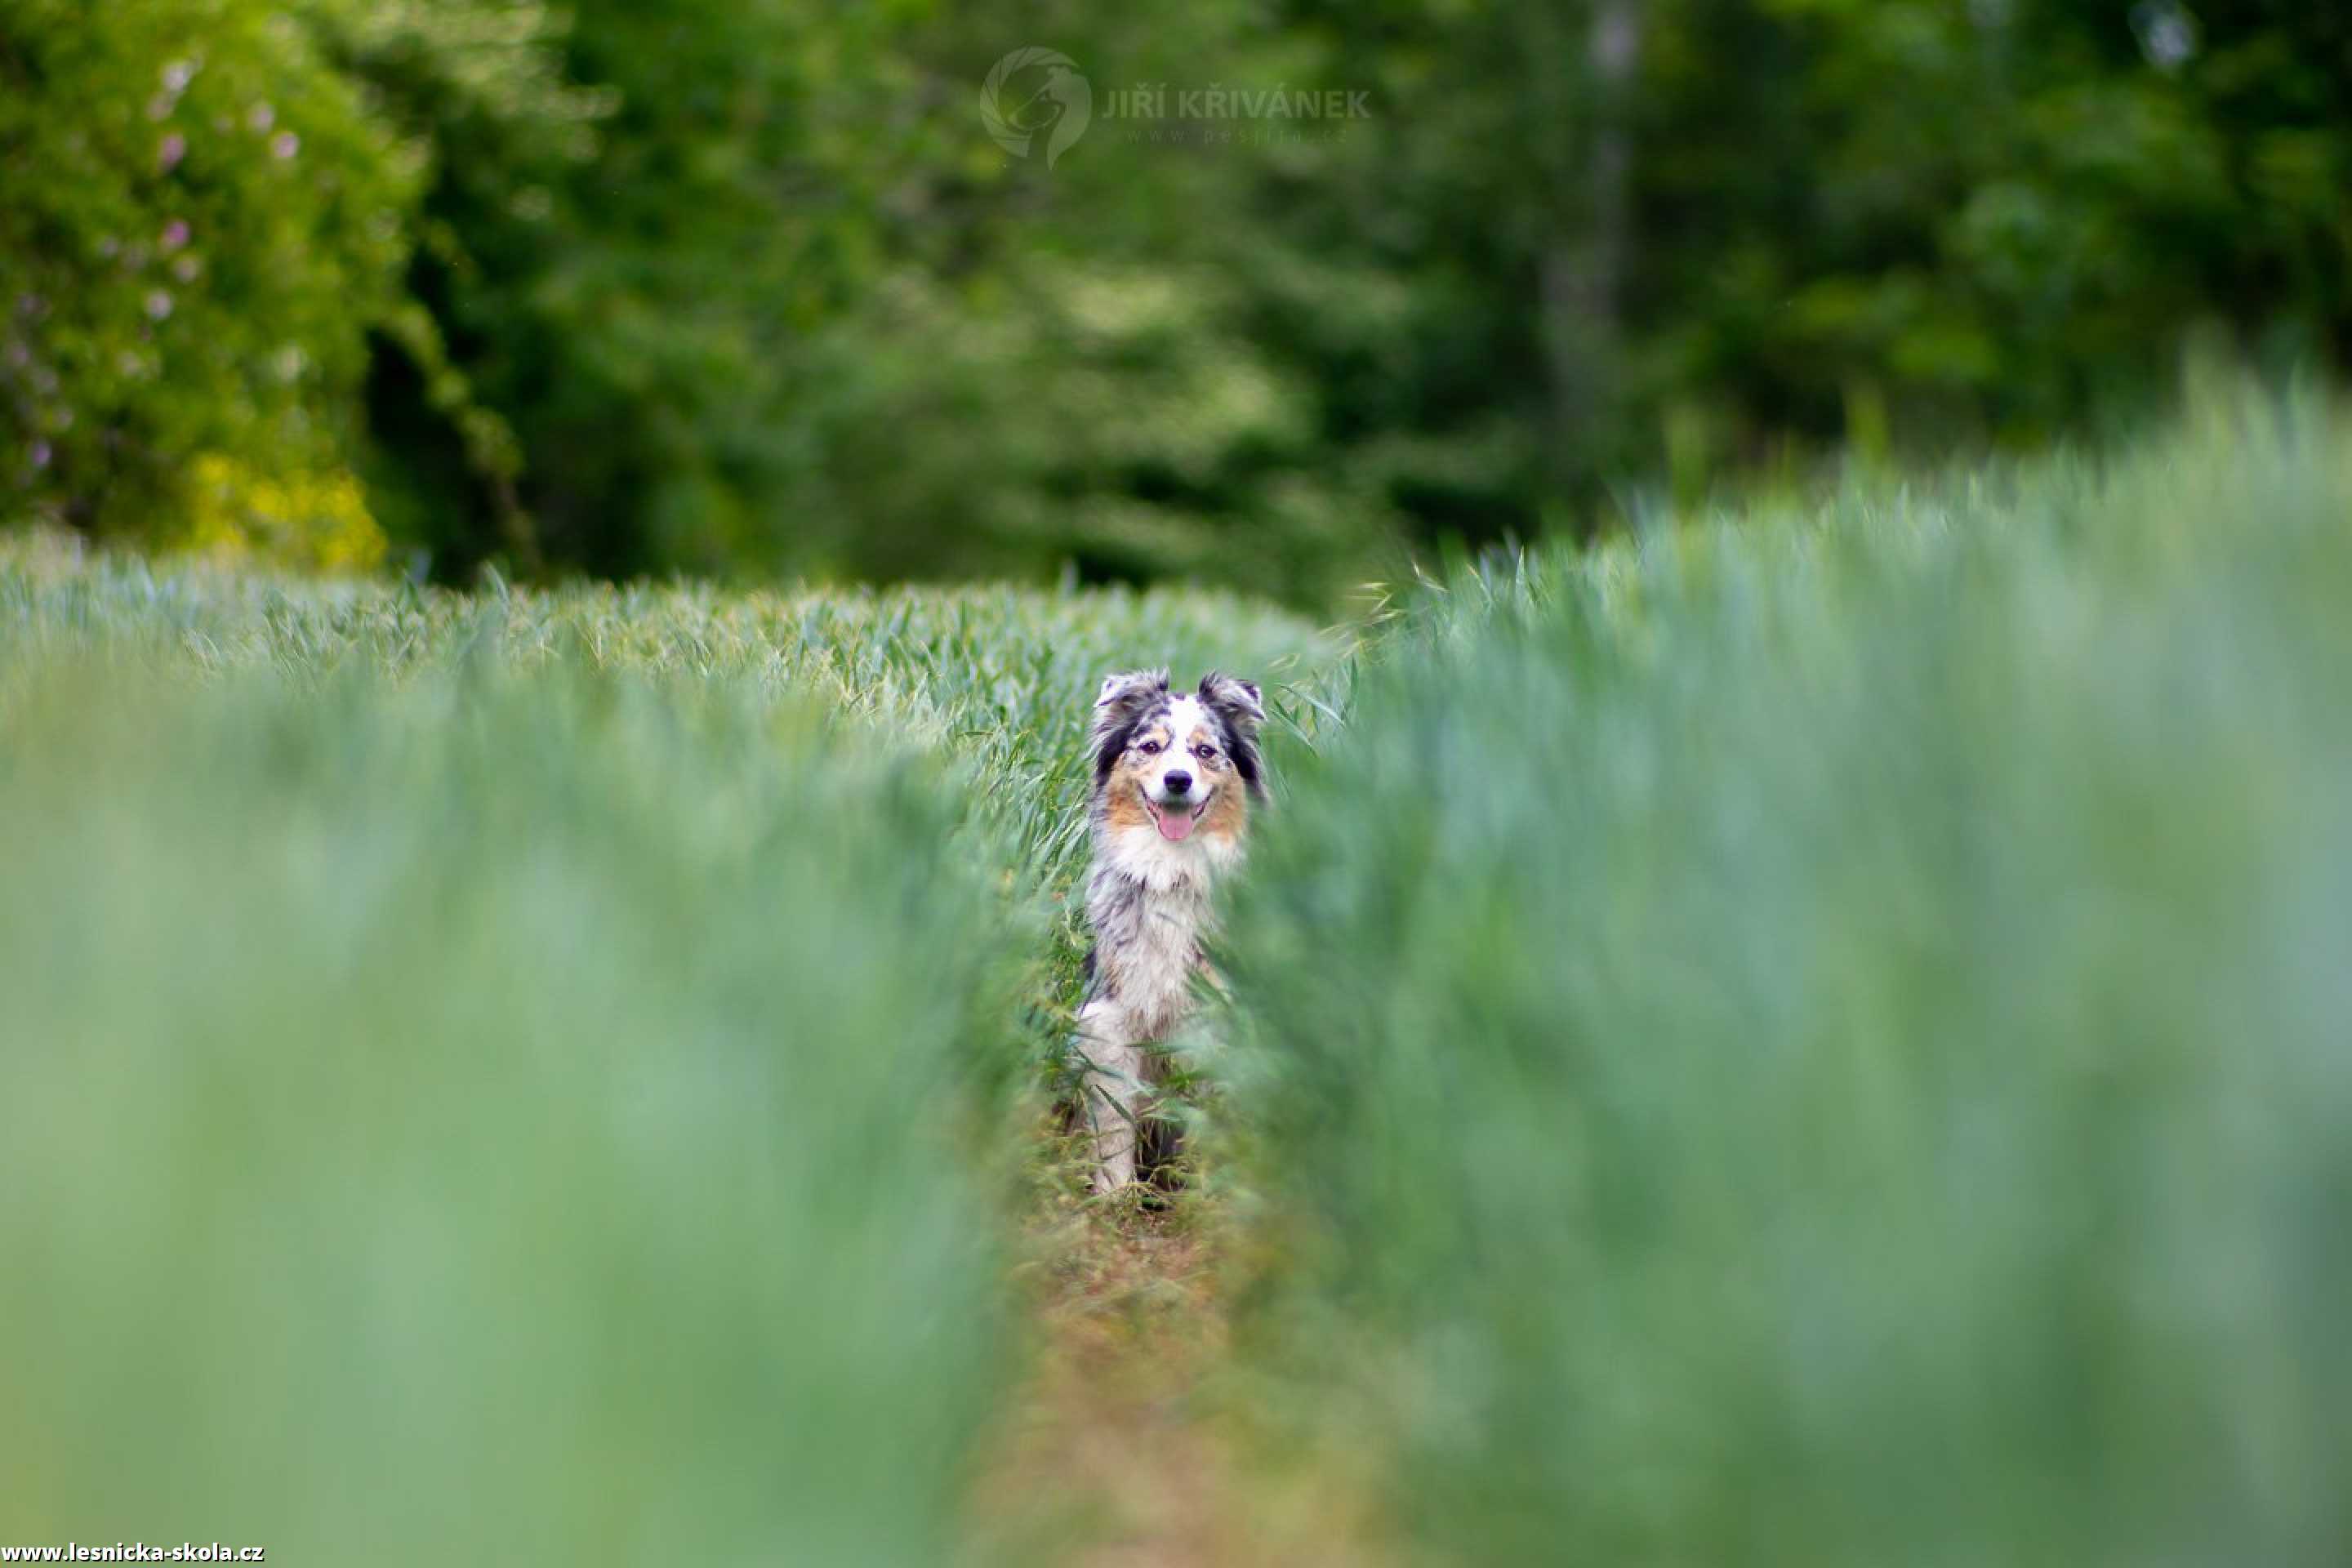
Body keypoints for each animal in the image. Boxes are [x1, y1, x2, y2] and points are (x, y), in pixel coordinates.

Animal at [1077, 662, 1270, 1189]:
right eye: (1150, 747)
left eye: (1206, 751)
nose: (1178, 779)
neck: (1171, 872)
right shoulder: (1114, 1015)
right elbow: (1114, 1120)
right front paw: (1113, 1194)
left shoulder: (1212, 1018)